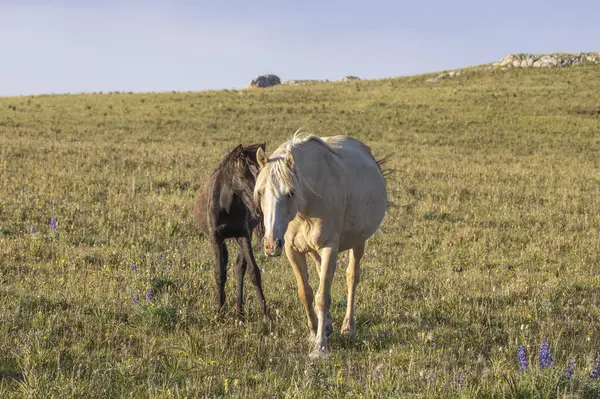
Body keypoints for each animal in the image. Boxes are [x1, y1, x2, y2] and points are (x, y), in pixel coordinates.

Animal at [253, 135, 390, 360]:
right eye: (260, 192)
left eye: (290, 193)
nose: (271, 244)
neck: (307, 204)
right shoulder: (292, 251)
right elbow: (306, 293)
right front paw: (314, 331)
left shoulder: (329, 249)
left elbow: (322, 297)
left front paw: (320, 347)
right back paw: (327, 324)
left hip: (358, 242)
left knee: (352, 277)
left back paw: (347, 327)